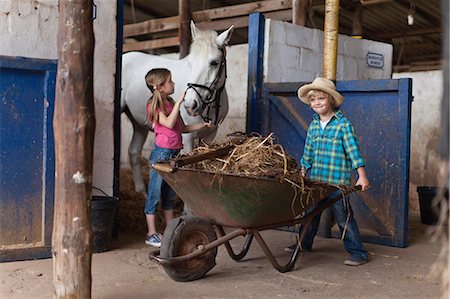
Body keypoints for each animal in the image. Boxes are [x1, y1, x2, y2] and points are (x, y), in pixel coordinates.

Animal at [123, 22, 236, 193]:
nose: (190, 104)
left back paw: (141, 190)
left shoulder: (210, 135)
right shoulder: (187, 138)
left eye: (214, 62)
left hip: (139, 124)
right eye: (191, 62)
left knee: (133, 152)